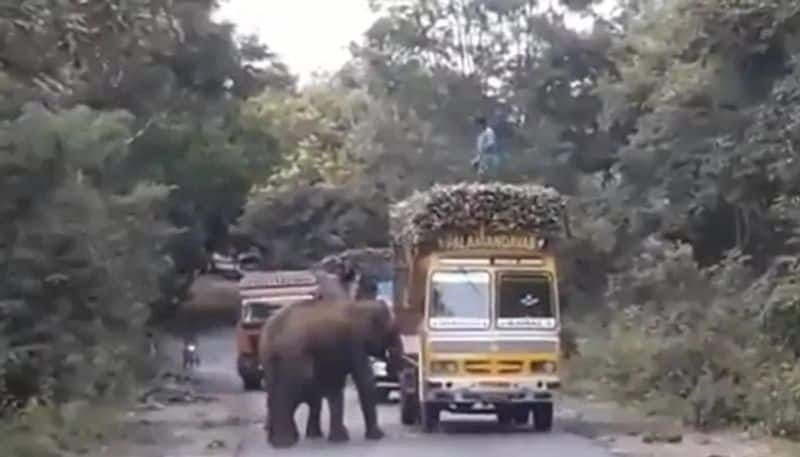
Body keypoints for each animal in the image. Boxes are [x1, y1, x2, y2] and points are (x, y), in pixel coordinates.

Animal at [260, 298, 404, 448]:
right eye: (392, 331)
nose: (390, 367)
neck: (360, 305)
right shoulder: (355, 342)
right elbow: (365, 381)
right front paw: (377, 436)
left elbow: (334, 386)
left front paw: (339, 438)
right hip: (293, 356)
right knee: (290, 392)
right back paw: (284, 442)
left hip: (270, 361)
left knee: (275, 392)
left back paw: (277, 440)